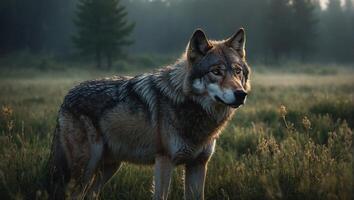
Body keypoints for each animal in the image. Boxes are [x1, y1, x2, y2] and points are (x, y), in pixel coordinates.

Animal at [47, 28, 252, 200]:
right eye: (216, 72)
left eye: (237, 71)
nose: (241, 94)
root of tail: (67, 96)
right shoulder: (164, 161)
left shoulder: (198, 165)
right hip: (86, 168)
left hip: (109, 168)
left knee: (90, 195)